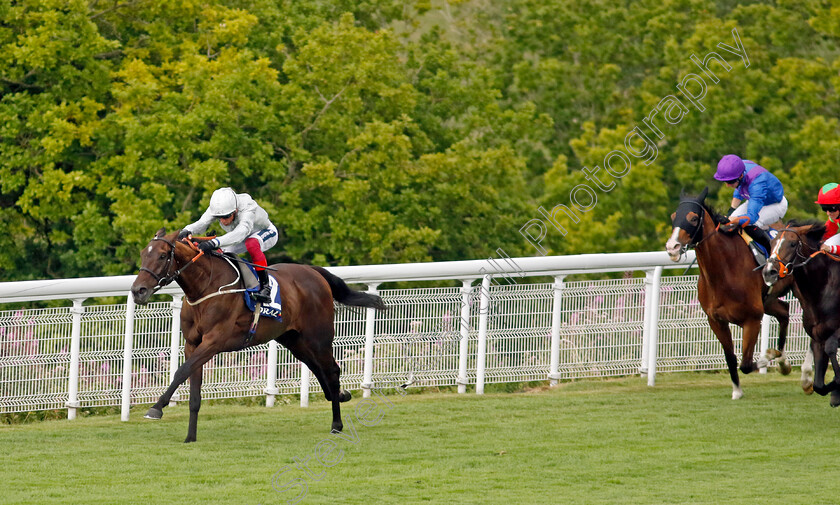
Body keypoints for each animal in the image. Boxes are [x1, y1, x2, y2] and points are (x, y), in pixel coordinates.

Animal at [129, 228, 388, 440]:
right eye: (143, 254)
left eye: (163, 255)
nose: (137, 290)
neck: (205, 287)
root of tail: (313, 272)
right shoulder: (192, 344)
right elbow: (193, 391)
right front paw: (190, 437)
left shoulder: (213, 342)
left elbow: (181, 372)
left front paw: (156, 408)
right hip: (295, 340)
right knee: (319, 369)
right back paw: (341, 395)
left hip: (318, 338)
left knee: (332, 371)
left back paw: (337, 423)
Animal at [668, 187, 792, 400]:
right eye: (673, 216)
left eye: (693, 218)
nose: (672, 247)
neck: (724, 270)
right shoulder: (716, 320)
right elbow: (731, 358)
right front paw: (737, 390)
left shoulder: (752, 319)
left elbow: (746, 364)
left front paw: (769, 356)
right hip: (769, 300)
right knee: (784, 311)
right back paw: (783, 362)